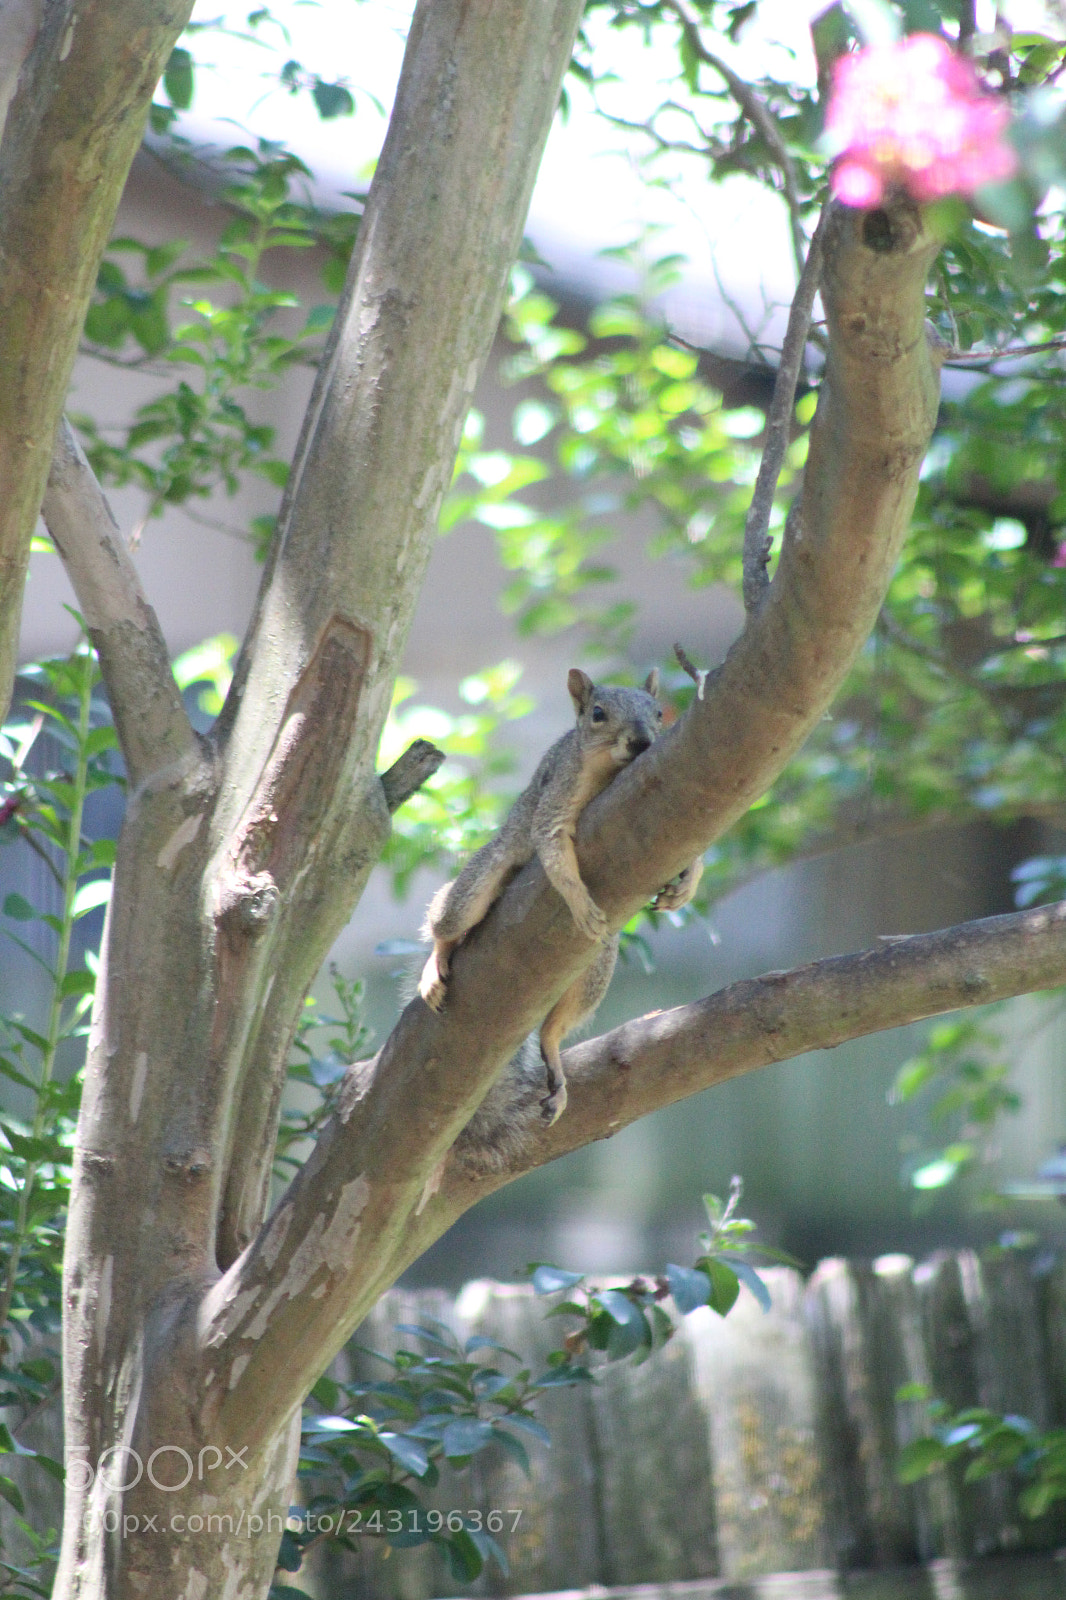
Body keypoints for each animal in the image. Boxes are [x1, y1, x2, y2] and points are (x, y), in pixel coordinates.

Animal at [418, 666, 704, 1140]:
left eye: (660, 713)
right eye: (598, 714)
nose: (642, 742)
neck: (609, 772)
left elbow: (694, 854)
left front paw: (686, 886)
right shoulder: (558, 796)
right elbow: (552, 846)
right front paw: (580, 904)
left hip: (596, 967)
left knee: (551, 1030)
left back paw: (553, 1056)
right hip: (476, 887)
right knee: (446, 922)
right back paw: (434, 963)